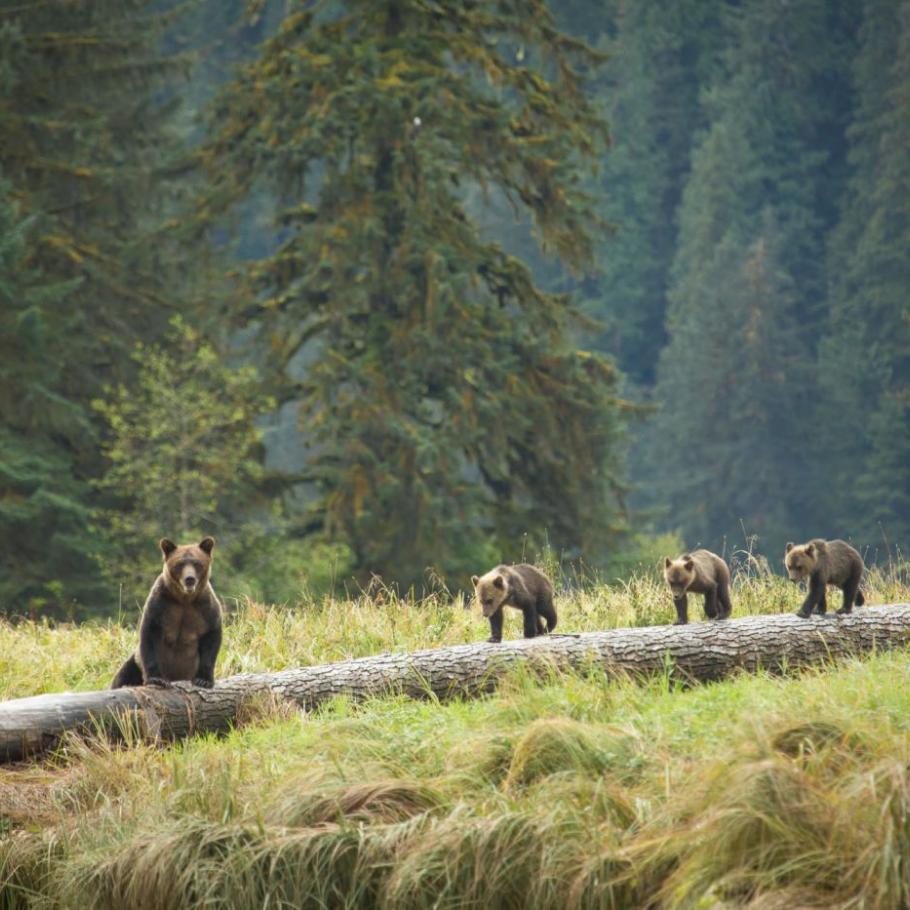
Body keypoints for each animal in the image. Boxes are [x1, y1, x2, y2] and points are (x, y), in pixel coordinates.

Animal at [112, 536, 224, 692]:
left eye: (197, 563)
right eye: (180, 564)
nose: (189, 579)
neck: (184, 598)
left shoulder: (205, 607)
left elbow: (212, 637)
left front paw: (204, 680)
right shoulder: (160, 604)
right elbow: (149, 634)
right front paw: (156, 679)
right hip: (134, 662)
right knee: (123, 674)